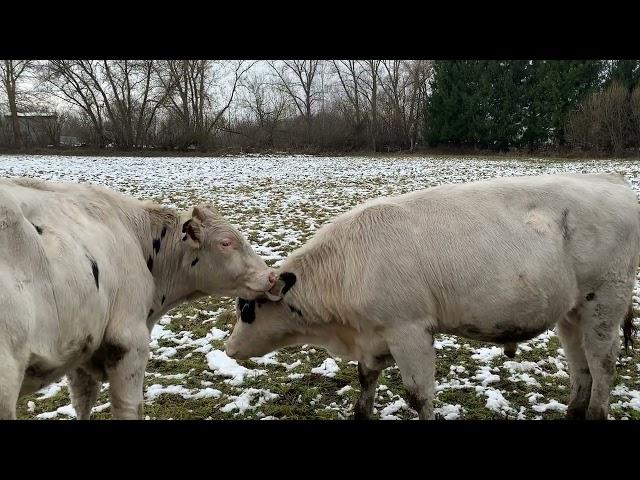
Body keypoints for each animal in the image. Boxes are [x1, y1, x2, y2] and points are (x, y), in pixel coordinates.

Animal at [0, 177, 272, 420]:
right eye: (226, 242)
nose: (270, 276)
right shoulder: (128, 342)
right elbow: (129, 407)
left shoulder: (81, 349)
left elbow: (82, 402)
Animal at [226, 173, 640, 420]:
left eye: (246, 308)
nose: (229, 349)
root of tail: (611, 181)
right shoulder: (373, 335)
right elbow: (366, 378)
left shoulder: (408, 330)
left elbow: (419, 395)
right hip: (571, 313)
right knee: (580, 367)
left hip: (605, 302)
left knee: (603, 364)